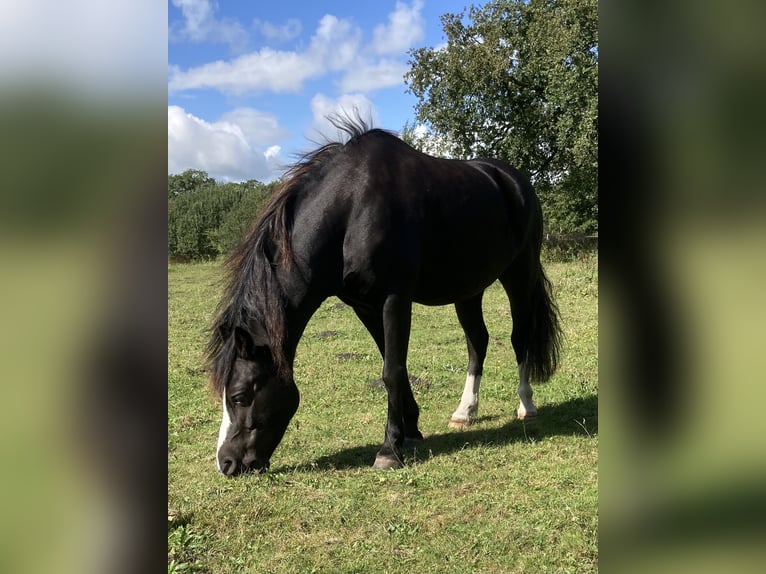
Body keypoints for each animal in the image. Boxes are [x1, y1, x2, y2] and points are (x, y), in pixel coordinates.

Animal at [207, 120, 560, 476]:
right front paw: (412, 430)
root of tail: (513, 180)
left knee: (519, 337)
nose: (226, 463)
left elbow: (391, 370)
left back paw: (526, 405)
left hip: (519, 275)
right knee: (478, 342)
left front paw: (389, 449)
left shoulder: (395, 298)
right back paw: (465, 412)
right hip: (469, 288)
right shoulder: (364, 305)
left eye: (239, 396)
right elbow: (396, 367)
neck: (350, 208)